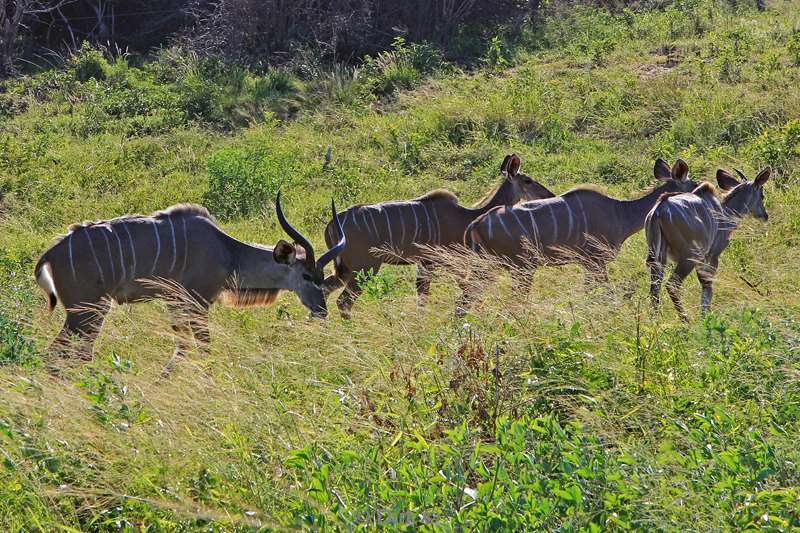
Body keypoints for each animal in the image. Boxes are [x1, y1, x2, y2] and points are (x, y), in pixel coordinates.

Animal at [34, 195, 346, 362]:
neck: (227, 252)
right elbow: (203, 347)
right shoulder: (197, 303)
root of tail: (51, 253)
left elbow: (181, 347)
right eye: (306, 275)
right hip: (87, 312)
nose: (321, 311)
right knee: (60, 354)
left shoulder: (176, 305)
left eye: (323, 277)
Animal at [322, 156, 552, 318]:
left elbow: (422, 297)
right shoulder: (443, 260)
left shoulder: (426, 263)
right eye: (528, 180)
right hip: (365, 267)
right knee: (343, 301)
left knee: (323, 291)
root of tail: (333, 224)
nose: (549, 195)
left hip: (345, 269)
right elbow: (463, 287)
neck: (466, 216)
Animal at [460, 158, 696, 312]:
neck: (619, 212)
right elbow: (605, 294)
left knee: (467, 294)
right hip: (519, 267)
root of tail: (476, 224)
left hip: (490, 267)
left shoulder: (588, 265)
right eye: (694, 185)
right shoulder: (596, 262)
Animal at [648, 165, 772, 320]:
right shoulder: (712, 256)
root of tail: (658, 212)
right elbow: (708, 288)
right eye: (762, 195)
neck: (724, 213)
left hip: (659, 259)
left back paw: (654, 321)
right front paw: (704, 318)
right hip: (688, 258)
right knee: (672, 285)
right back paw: (685, 319)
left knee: (654, 289)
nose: (765, 215)